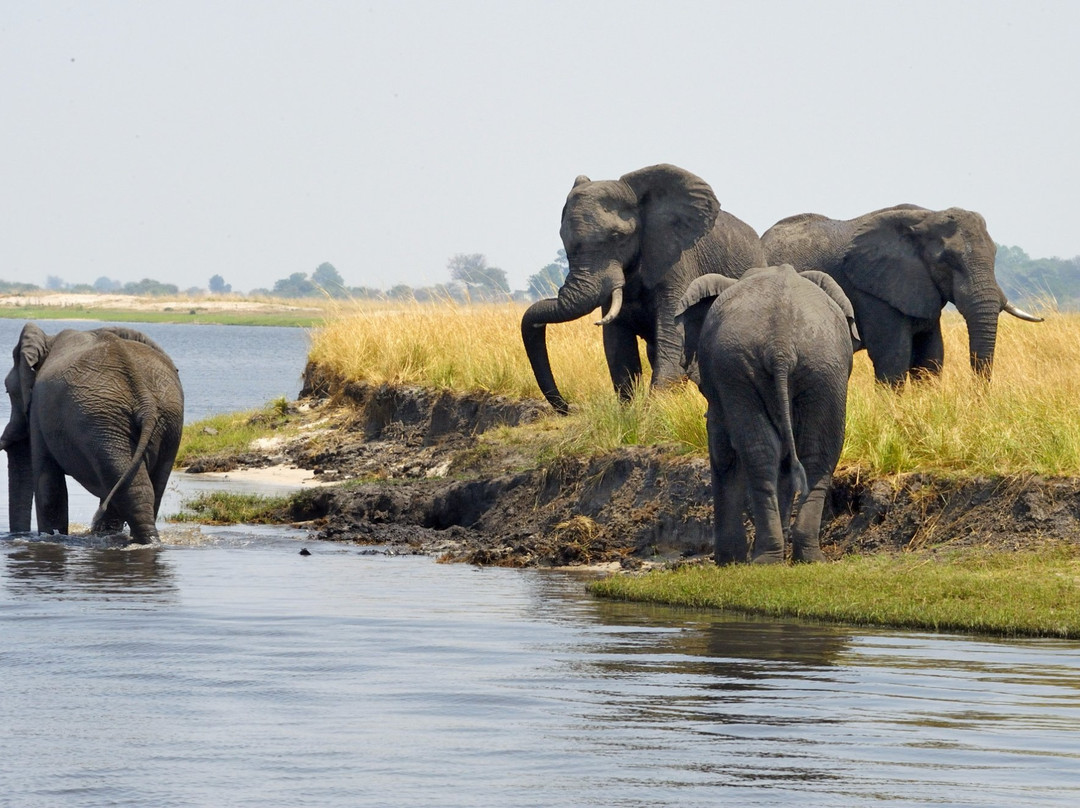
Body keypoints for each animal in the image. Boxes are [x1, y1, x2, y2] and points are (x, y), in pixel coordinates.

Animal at [673, 267, 859, 566]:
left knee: (761, 452)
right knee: (816, 452)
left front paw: (728, 561)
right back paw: (805, 557)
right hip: (824, 367)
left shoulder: (723, 381)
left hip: (744, 368)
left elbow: (723, 450)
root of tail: (780, 345)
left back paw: (766, 558)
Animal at [760, 206, 1036, 386]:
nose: (978, 398)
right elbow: (894, 358)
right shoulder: (874, 293)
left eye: (995, 254)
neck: (926, 217)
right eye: (947, 261)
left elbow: (931, 358)